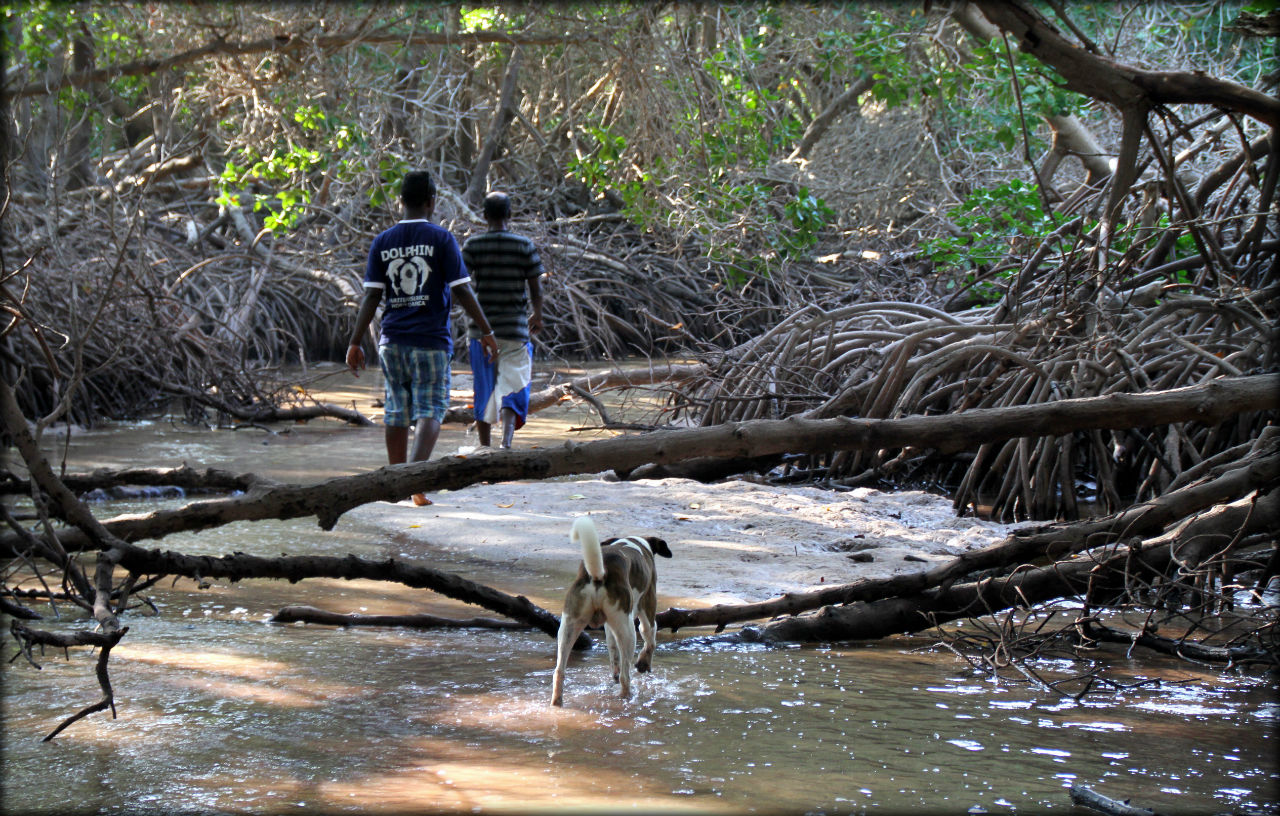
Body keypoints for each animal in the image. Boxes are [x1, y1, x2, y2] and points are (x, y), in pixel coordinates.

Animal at [547, 516, 670, 711]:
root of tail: (599, 575)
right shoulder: (648, 605)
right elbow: (650, 639)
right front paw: (644, 663)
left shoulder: (609, 628)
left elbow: (613, 652)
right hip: (628, 630)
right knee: (626, 675)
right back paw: (626, 696)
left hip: (568, 627)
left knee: (559, 671)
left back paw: (557, 702)